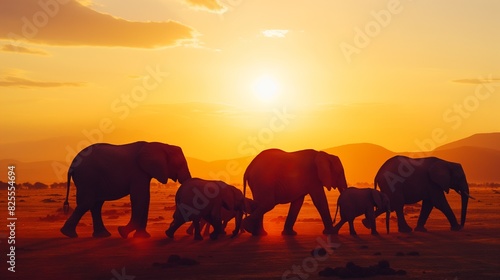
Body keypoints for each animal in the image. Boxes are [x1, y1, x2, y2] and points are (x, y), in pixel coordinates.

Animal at [59, 142, 191, 238]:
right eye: (180, 164)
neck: (161, 145)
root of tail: (72, 164)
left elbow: (145, 198)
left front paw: (142, 237)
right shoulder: (138, 172)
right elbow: (140, 197)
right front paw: (122, 232)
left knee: (96, 204)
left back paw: (102, 235)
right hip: (87, 177)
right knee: (87, 202)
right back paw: (69, 234)